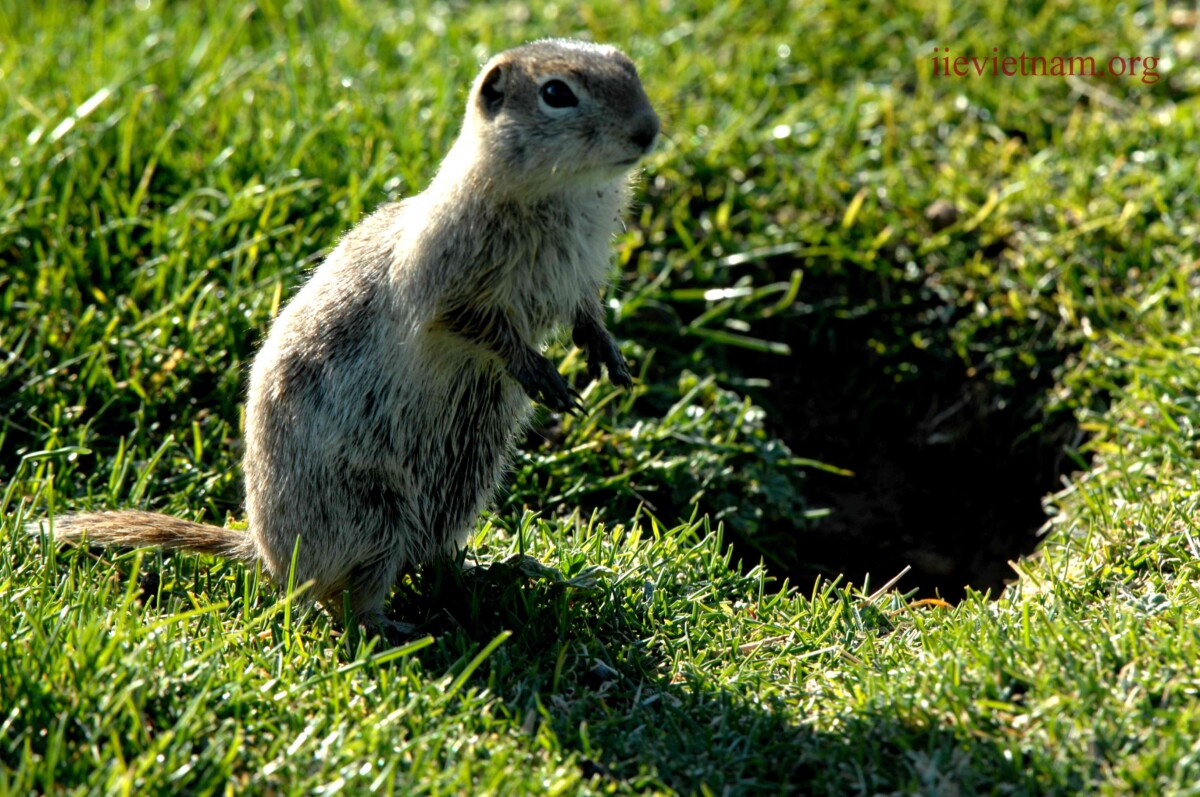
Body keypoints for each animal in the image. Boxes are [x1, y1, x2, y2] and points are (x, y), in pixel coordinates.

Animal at [37, 39, 662, 633]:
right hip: (374, 513)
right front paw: (540, 372)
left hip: (463, 483)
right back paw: (394, 626)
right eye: (557, 93)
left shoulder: (580, 274)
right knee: (345, 598)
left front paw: (610, 357)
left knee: (434, 558)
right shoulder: (445, 278)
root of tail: (265, 554)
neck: (565, 197)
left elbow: (586, 311)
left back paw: (505, 571)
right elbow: (476, 323)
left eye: (631, 68)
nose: (648, 130)